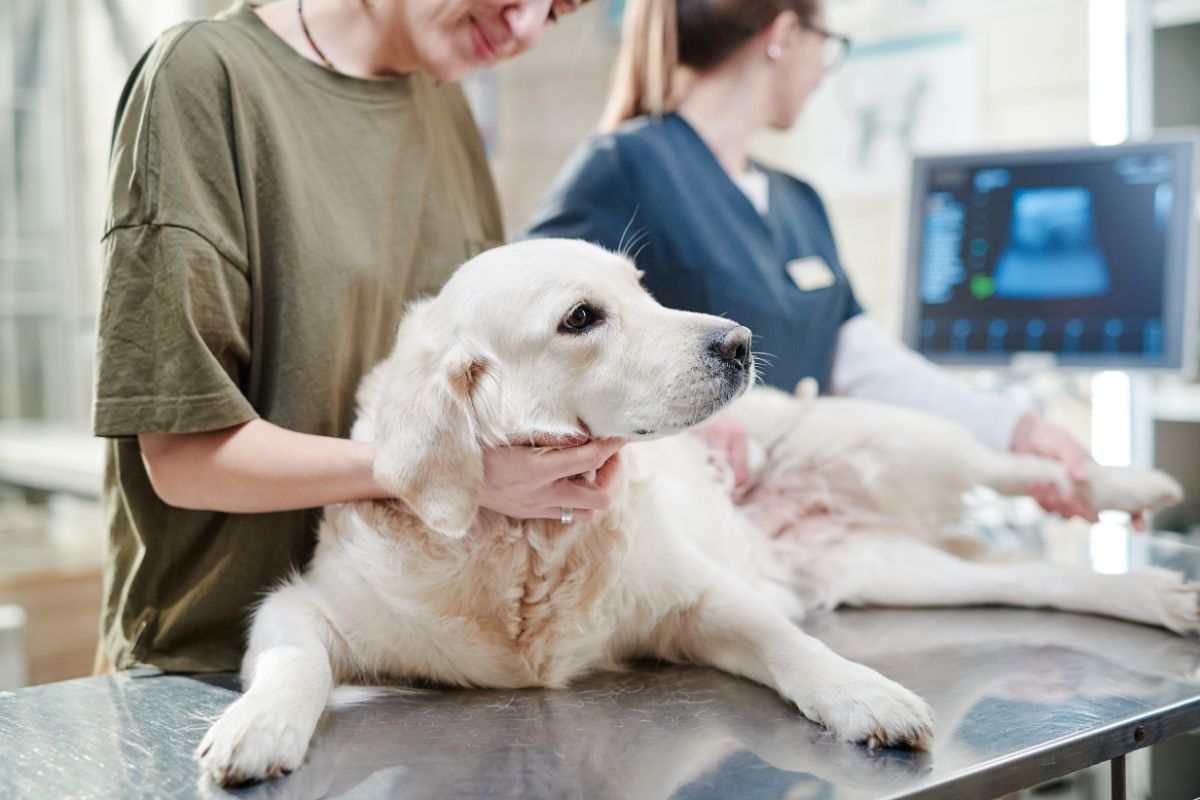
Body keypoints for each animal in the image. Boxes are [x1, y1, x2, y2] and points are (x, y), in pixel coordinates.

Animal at [196, 239, 1190, 786]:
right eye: (583, 317)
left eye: (643, 287)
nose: (739, 341)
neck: (529, 545)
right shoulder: (305, 605)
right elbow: (293, 661)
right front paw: (258, 727)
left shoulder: (697, 600)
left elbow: (795, 648)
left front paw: (863, 693)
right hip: (894, 571)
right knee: (1039, 576)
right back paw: (1161, 595)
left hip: (886, 438)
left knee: (1010, 461)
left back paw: (1130, 487)